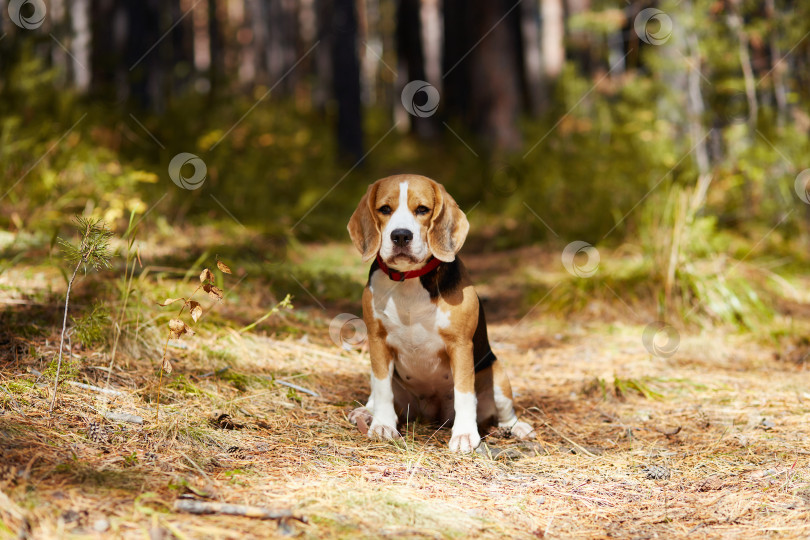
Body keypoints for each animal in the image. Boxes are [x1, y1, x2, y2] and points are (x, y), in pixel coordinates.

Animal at [344, 174, 532, 452]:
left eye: (422, 209)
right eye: (385, 209)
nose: (401, 236)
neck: (410, 280)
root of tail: (433, 411)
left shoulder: (460, 345)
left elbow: (464, 392)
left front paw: (464, 435)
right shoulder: (377, 341)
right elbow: (382, 389)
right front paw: (383, 425)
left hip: (497, 374)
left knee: (505, 413)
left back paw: (515, 427)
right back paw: (366, 412)